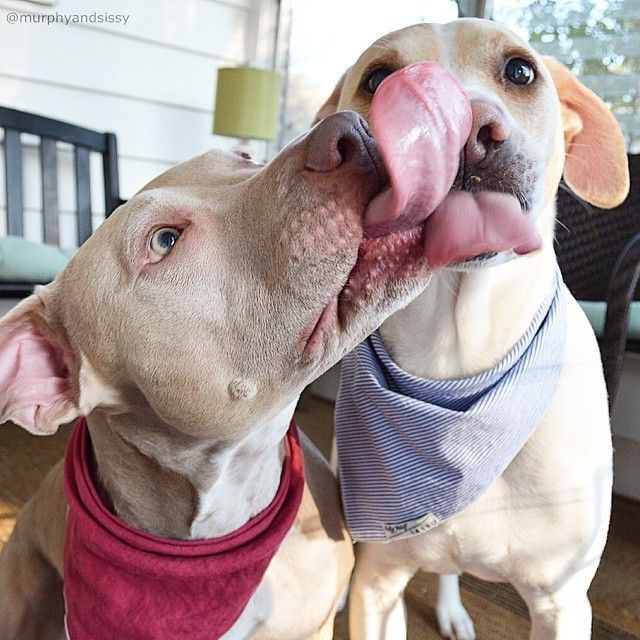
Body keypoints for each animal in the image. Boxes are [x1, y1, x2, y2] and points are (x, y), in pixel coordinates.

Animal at [318, 17, 628, 640]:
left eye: (521, 70)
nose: (464, 132)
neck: (457, 368)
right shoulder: (377, 582)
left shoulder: (562, 602)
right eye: (379, 79)